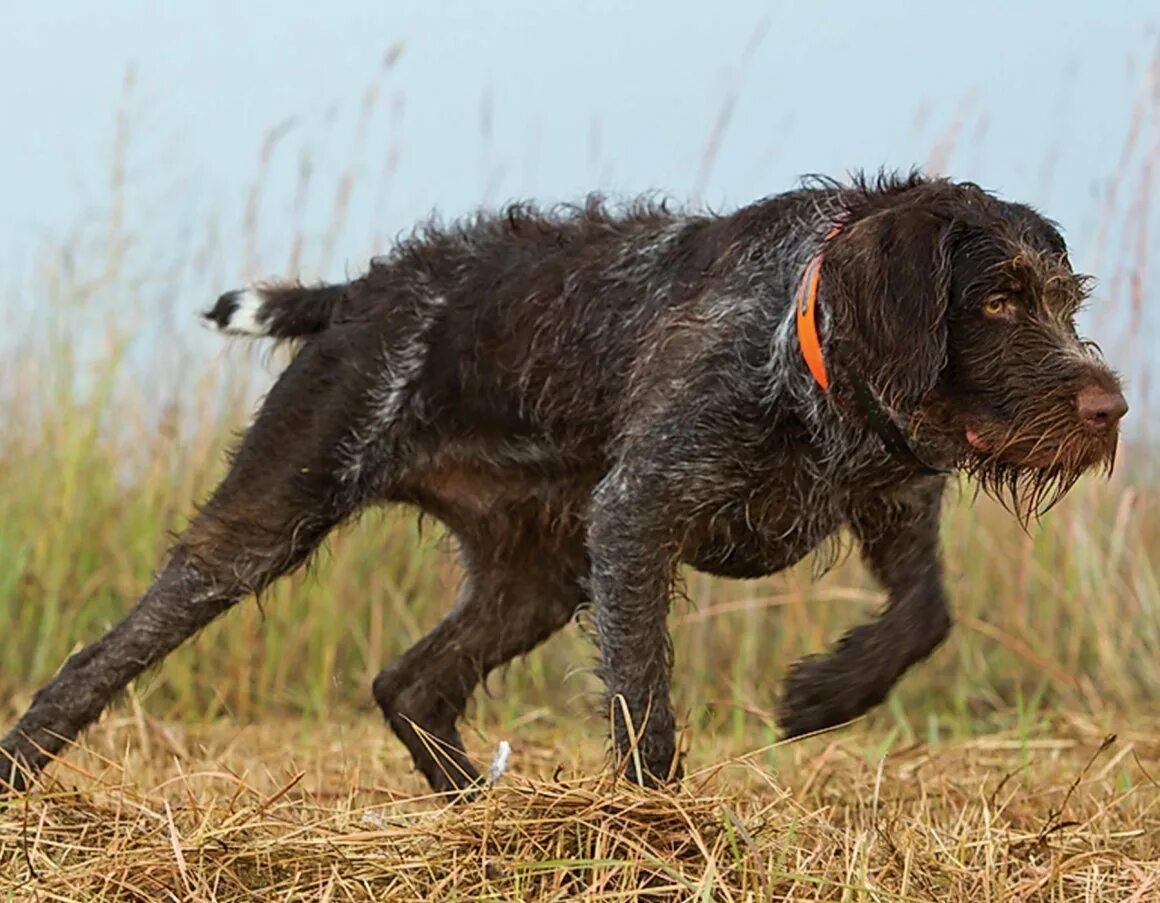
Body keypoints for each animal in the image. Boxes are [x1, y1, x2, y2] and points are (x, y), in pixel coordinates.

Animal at [0, 167, 1122, 789]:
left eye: (1065, 300)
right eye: (996, 301)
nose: (1109, 409)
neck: (807, 351)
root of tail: (362, 291)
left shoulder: (890, 504)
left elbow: (925, 614)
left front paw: (826, 691)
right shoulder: (637, 517)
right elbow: (644, 710)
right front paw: (655, 839)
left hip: (537, 576)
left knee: (408, 683)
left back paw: (485, 817)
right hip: (271, 514)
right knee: (98, 658)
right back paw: (22, 770)